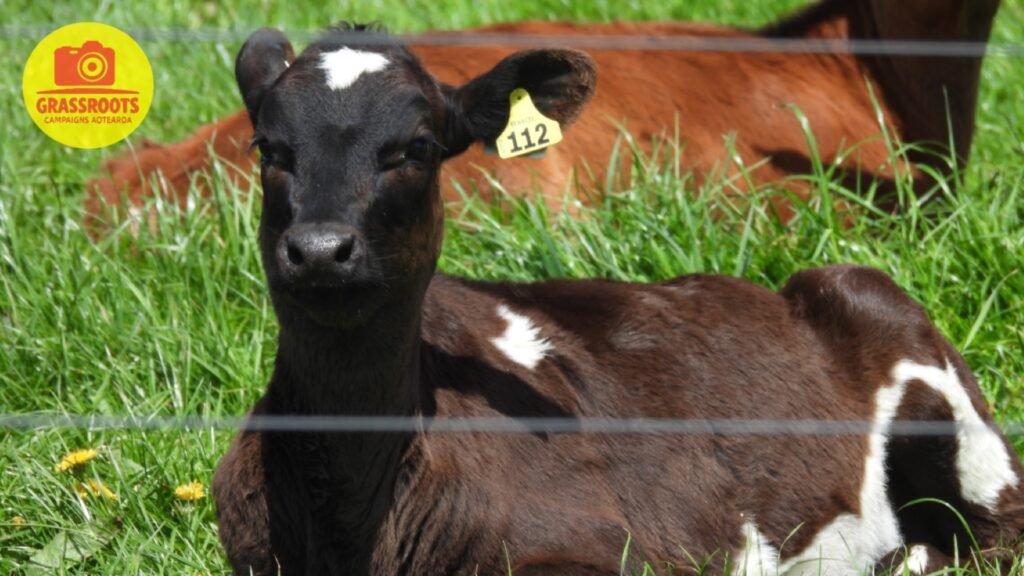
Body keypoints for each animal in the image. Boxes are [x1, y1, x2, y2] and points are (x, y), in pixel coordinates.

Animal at [211, 23, 1024, 576]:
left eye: (416, 148)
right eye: (268, 149)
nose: (321, 249)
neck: (351, 517)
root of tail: (790, 286)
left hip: (941, 406)